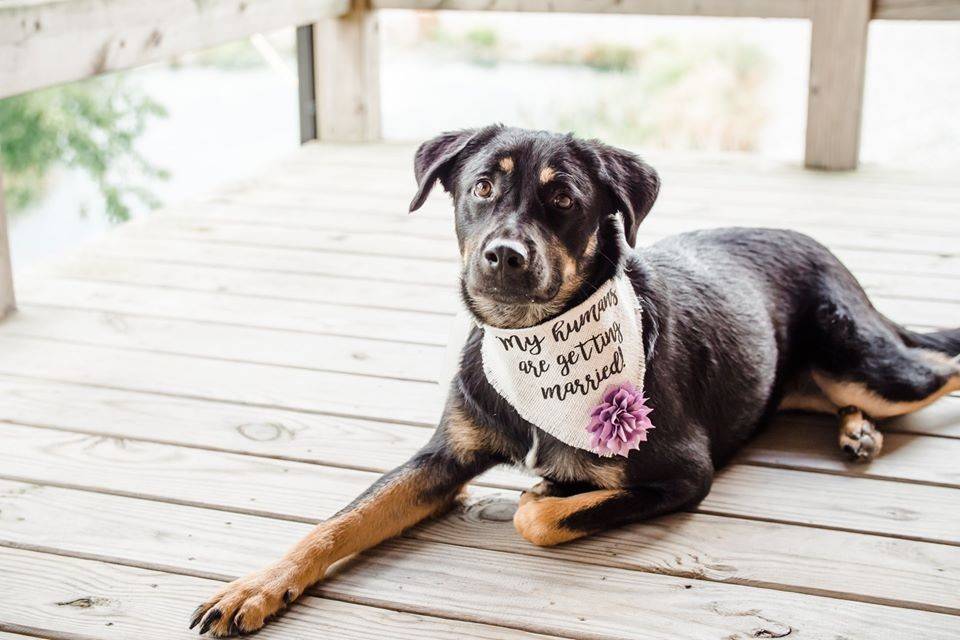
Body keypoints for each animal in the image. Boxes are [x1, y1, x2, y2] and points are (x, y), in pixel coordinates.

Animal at [189, 124, 960, 636]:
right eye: (481, 187)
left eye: (563, 200)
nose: (504, 255)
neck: (534, 345)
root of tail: (831, 255)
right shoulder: (442, 455)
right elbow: (337, 522)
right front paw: (255, 588)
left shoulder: (685, 473)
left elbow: (536, 515)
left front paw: (547, 489)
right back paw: (857, 434)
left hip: (865, 361)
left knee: (937, 369)